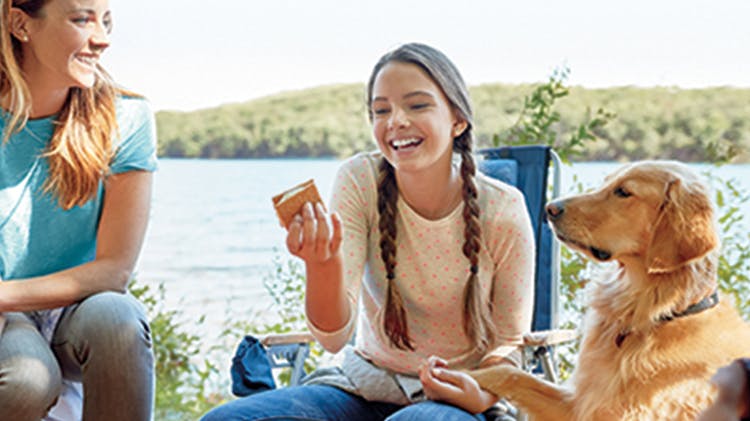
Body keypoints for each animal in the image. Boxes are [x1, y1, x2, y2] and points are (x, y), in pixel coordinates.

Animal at [472, 159, 750, 418]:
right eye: (606, 183)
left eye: (623, 192)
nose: (550, 208)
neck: (651, 315)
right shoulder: (579, 403)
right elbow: (508, 374)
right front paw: (469, 373)